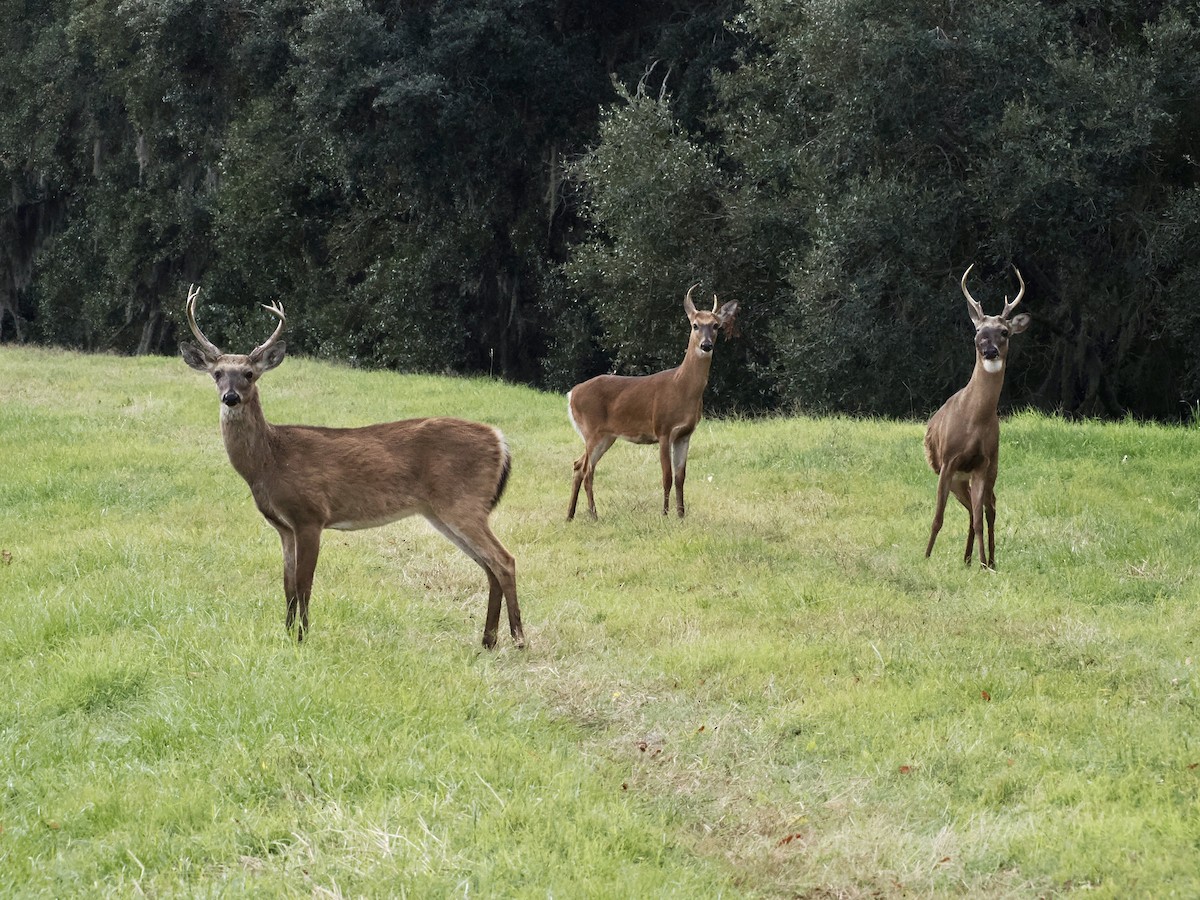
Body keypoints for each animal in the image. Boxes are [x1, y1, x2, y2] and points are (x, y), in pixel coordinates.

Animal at [179, 285, 524, 648]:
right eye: (218, 374)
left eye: (248, 374)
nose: (230, 397)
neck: (270, 461)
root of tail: (500, 439)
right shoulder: (283, 527)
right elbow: (287, 586)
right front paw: (287, 635)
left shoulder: (310, 515)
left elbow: (304, 584)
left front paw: (302, 638)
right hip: (442, 511)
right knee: (488, 566)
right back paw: (488, 641)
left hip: (463, 502)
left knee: (504, 560)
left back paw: (517, 639)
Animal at [567, 283, 738, 519]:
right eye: (695, 325)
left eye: (716, 326)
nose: (706, 345)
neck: (682, 387)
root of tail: (571, 394)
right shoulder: (663, 429)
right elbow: (666, 475)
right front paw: (664, 514)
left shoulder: (685, 435)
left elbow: (681, 477)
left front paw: (681, 515)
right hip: (592, 430)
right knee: (587, 470)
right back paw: (593, 515)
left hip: (606, 436)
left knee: (578, 465)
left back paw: (570, 515)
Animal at [924, 263, 1031, 569]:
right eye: (979, 330)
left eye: (1004, 332)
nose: (989, 350)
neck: (973, 420)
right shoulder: (948, 461)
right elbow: (937, 518)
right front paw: (925, 557)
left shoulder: (982, 463)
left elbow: (980, 519)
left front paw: (985, 562)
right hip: (960, 479)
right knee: (975, 511)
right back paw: (969, 558)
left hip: (991, 468)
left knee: (988, 507)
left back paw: (988, 560)